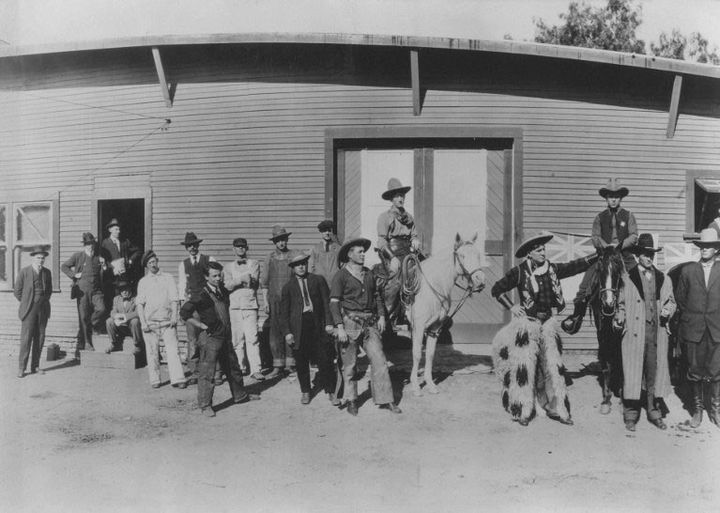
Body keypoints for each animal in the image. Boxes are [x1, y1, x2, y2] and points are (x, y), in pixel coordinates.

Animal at [408, 233, 486, 396]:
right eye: (462, 255)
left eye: (478, 254)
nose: (480, 280)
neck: (433, 286)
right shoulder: (418, 326)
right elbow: (417, 353)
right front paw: (416, 386)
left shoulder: (434, 328)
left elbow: (430, 354)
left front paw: (430, 384)